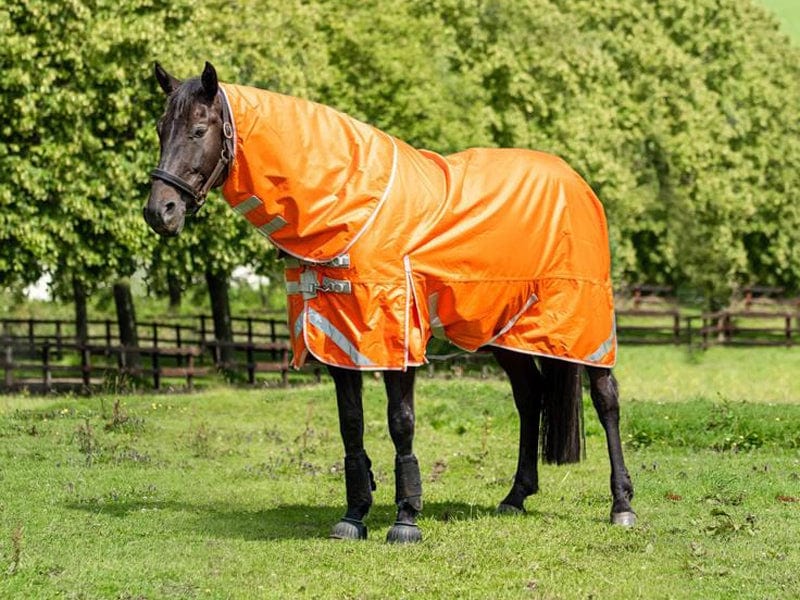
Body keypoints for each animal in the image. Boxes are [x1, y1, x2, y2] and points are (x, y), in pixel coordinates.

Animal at [144, 62, 635, 543]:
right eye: (160, 128)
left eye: (199, 129)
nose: (159, 212)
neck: (351, 203)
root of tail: (578, 183)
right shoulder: (339, 340)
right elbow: (351, 424)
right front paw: (354, 515)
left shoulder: (396, 334)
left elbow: (401, 421)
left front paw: (405, 520)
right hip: (504, 330)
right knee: (529, 397)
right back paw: (515, 496)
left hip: (583, 324)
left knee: (606, 399)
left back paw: (622, 506)